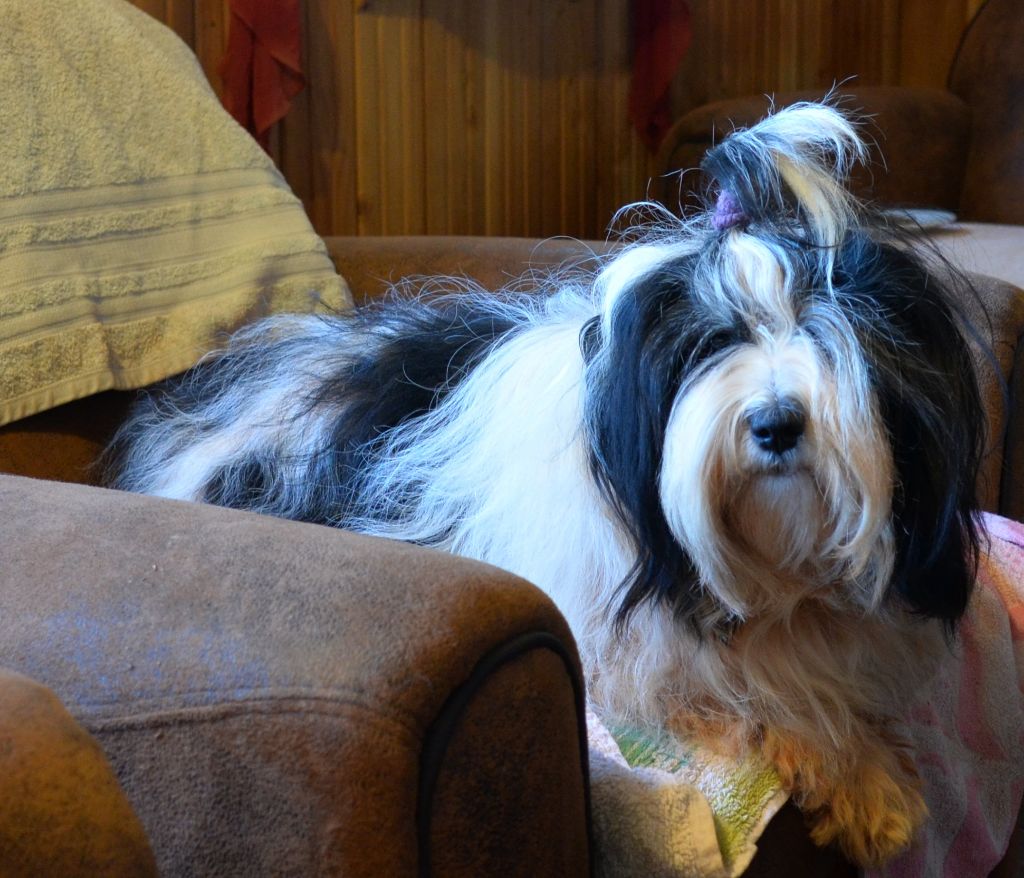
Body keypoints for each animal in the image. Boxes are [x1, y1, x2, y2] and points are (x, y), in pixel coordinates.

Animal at [105, 100, 983, 864]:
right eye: (711, 341)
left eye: (824, 329)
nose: (775, 422)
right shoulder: (620, 653)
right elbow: (742, 696)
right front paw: (862, 782)